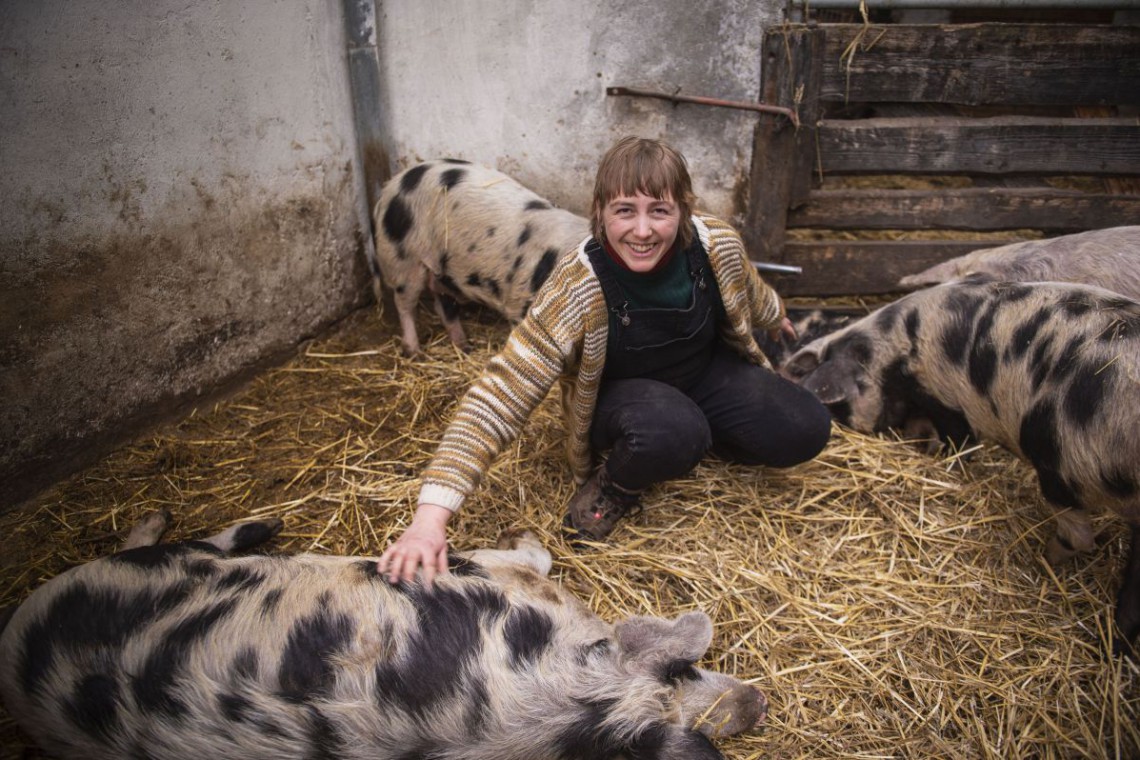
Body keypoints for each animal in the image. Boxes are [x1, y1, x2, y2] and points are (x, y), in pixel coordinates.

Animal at [371, 160, 588, 357]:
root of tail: (387, 190)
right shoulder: (521, 302)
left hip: (443, 271)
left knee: (443, 304)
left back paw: (464, 347)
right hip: (402, 259)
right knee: (405, 304)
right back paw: (413, 352)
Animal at [779, 278, 1140, 656]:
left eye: (841, 405)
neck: (898, 354)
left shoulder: (948, 399)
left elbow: (960, 443)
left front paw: (943, 459)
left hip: (1058, 454)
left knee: (1078, 534)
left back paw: (1046, 560)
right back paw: (1115, 648)